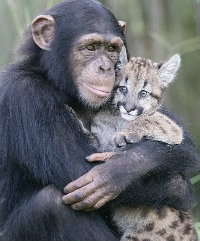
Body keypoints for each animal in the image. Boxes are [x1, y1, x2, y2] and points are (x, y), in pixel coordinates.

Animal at [0, 0, 198, 241]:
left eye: (111, 49)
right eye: (91, 48)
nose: (104, 67)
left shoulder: (168, 126)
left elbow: (161, 126)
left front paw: (120, 162)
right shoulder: (24, 92)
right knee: (50, 202)